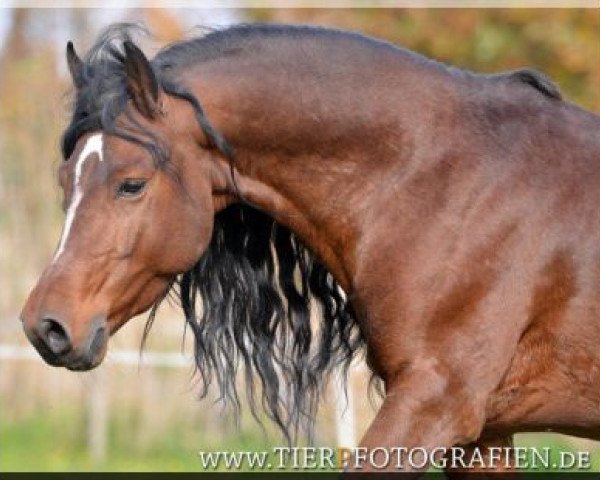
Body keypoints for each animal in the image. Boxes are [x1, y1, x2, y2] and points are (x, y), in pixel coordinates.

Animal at [18, 22, 600, 472]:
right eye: (66, 179)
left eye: (131, 184)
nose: (44, 325)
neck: (446, 180)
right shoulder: (482, 432)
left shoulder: (437, 403)